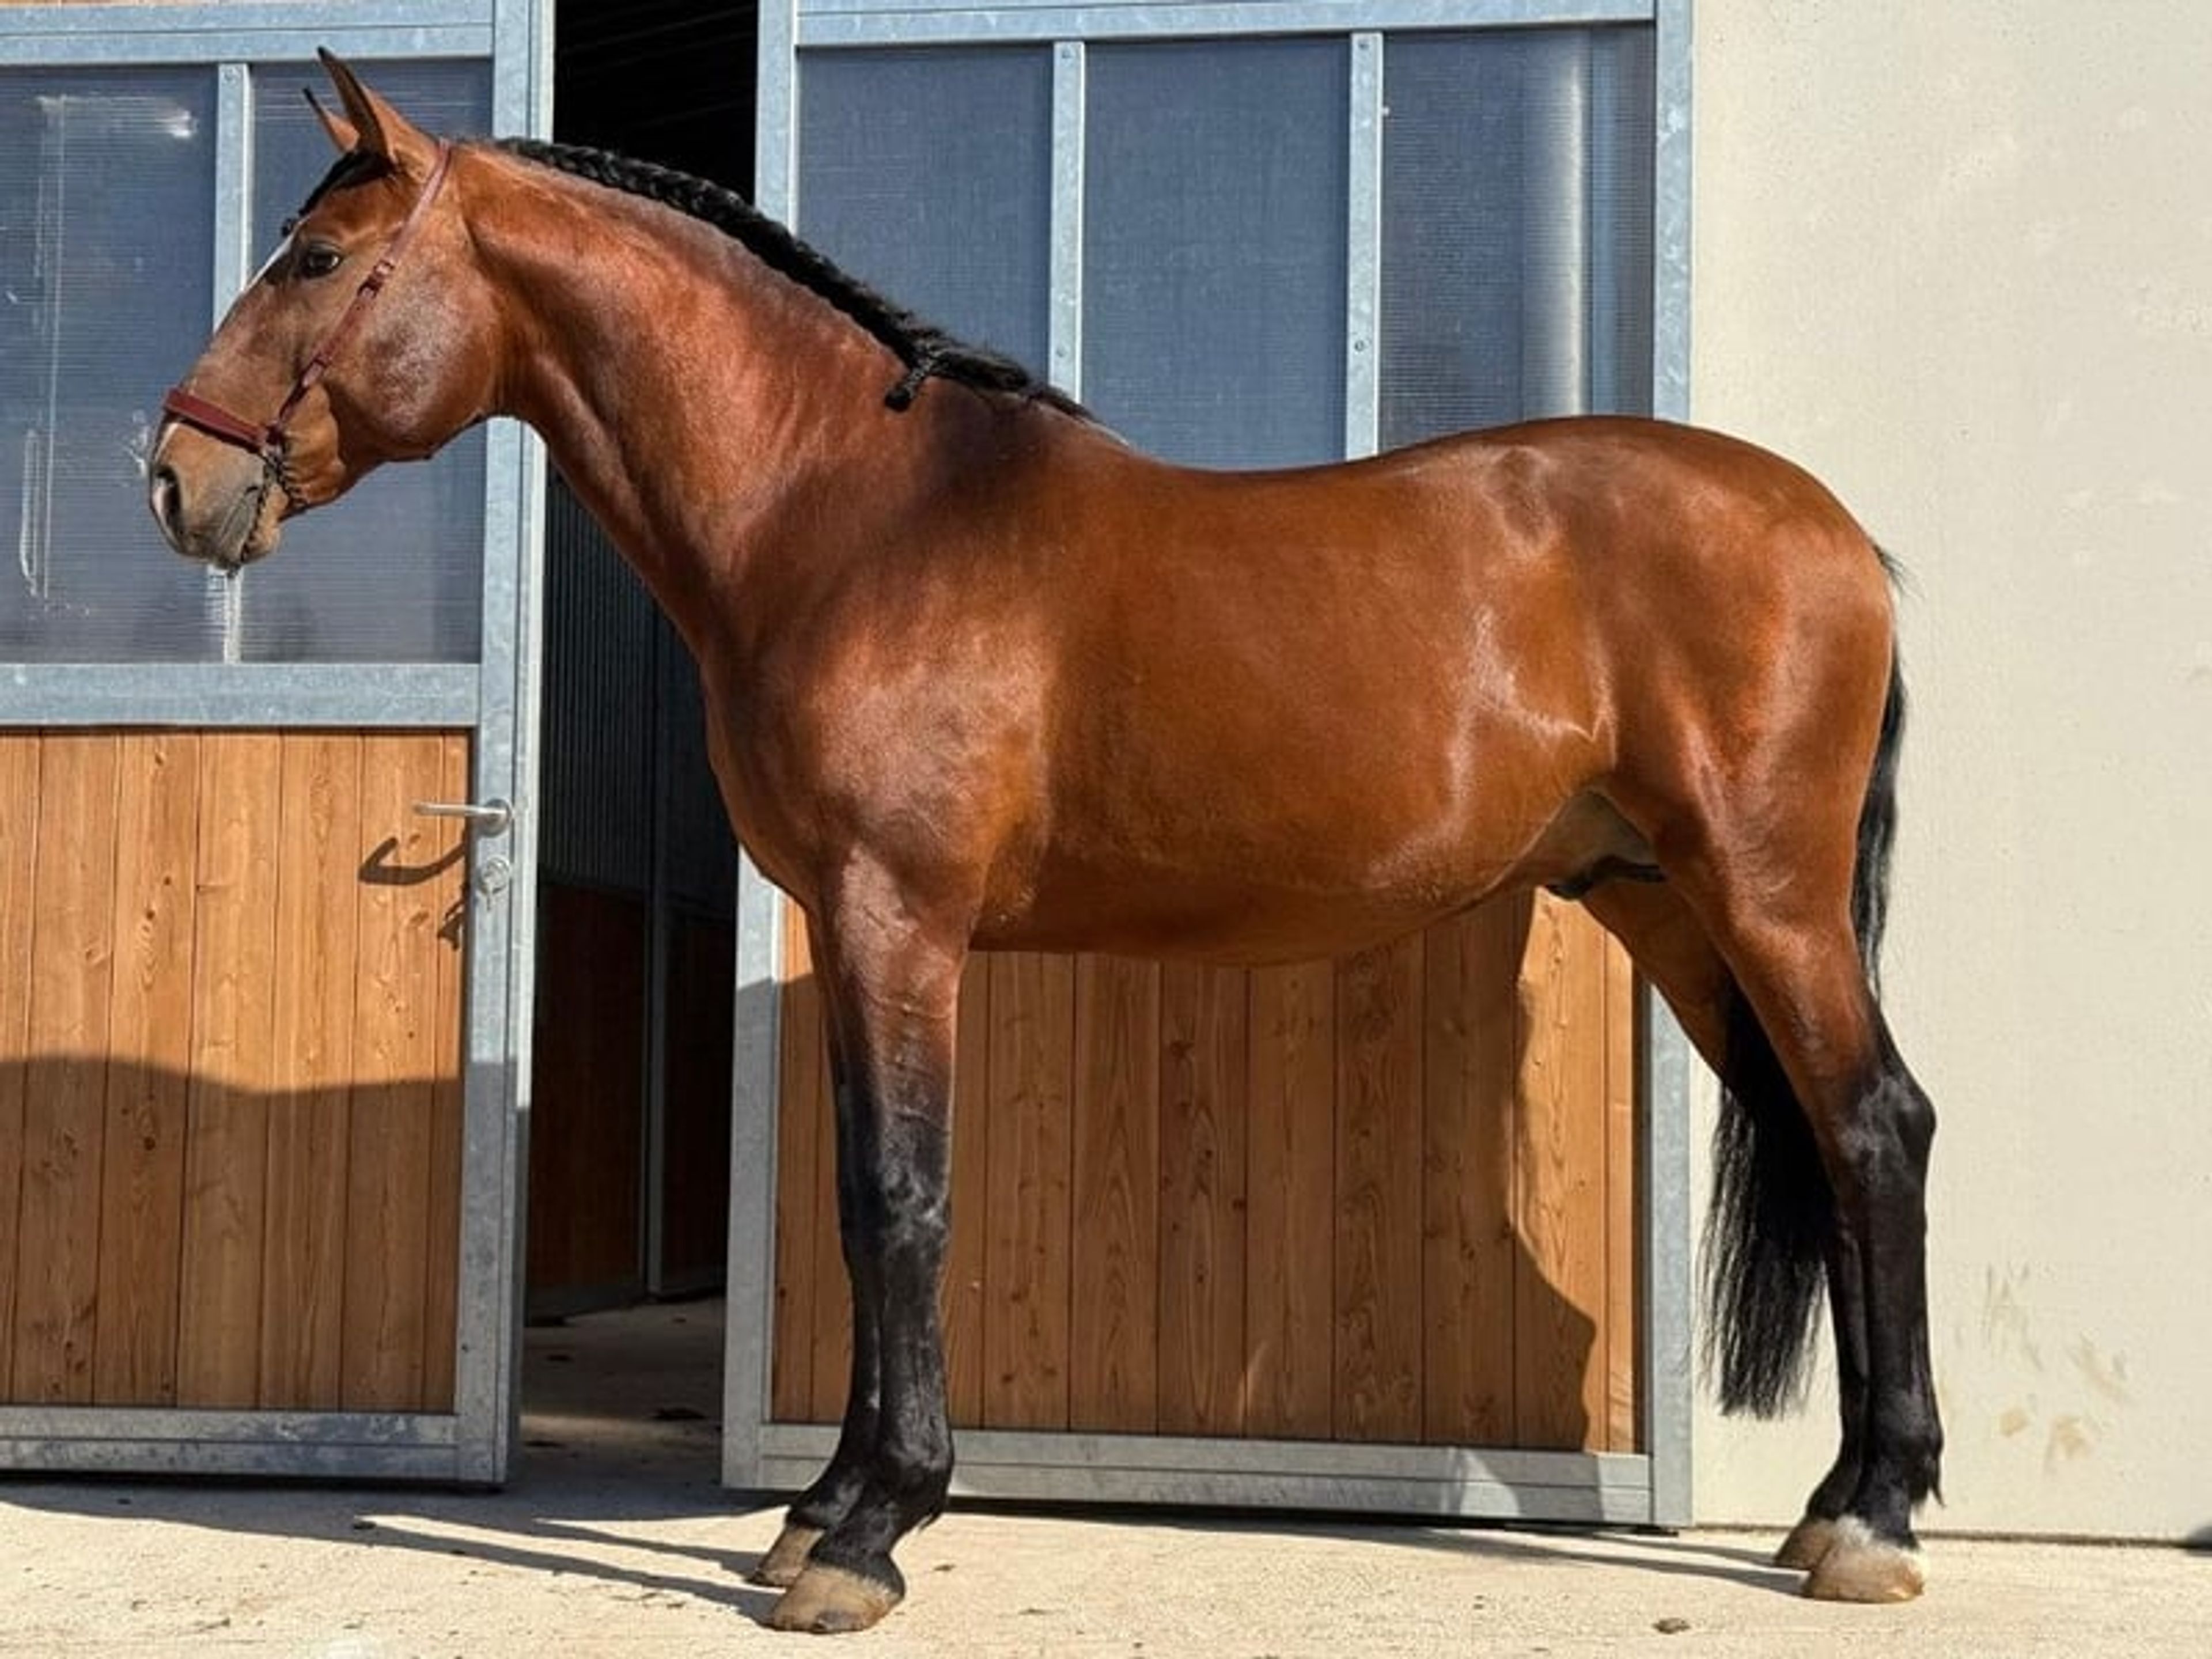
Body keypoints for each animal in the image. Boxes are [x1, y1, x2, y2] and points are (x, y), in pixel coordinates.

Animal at [149, 53, 1941, 1635]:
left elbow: (900, 1198)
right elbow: (862, 1201)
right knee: (1832, 1129)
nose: (172, 478)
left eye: (315, 260)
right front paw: (824, 1506)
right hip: (1665, 904)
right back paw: (1834, 1506)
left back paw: (1872, 1516)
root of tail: (1837, 533)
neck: (847, 518)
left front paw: (867, 1535)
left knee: (1873, 1128)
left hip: (1765, 898)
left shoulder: (897, 916)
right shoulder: (849, 925)